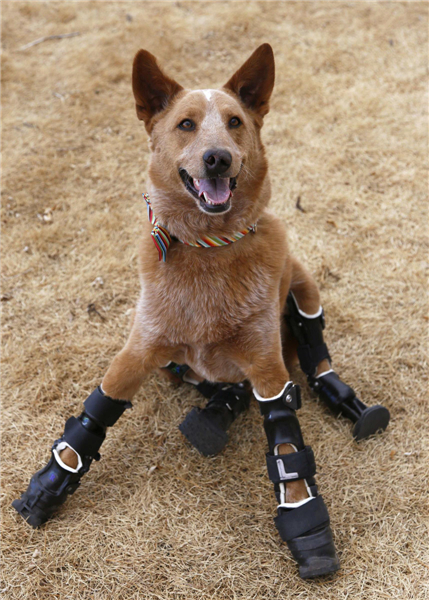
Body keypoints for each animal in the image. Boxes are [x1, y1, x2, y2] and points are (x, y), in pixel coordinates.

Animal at [13, 44, 390, 580]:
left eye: (234, 122)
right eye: (186, 124)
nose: (218, 158)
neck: (208, 251)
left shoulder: (268, 370)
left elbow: (287, 445)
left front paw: (307, 524)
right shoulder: (138, 351)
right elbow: (95, 412)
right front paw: (49, 484)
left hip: (303, 282)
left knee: (315, 349)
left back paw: (344, 400)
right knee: (216, 387)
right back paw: (216, 411)